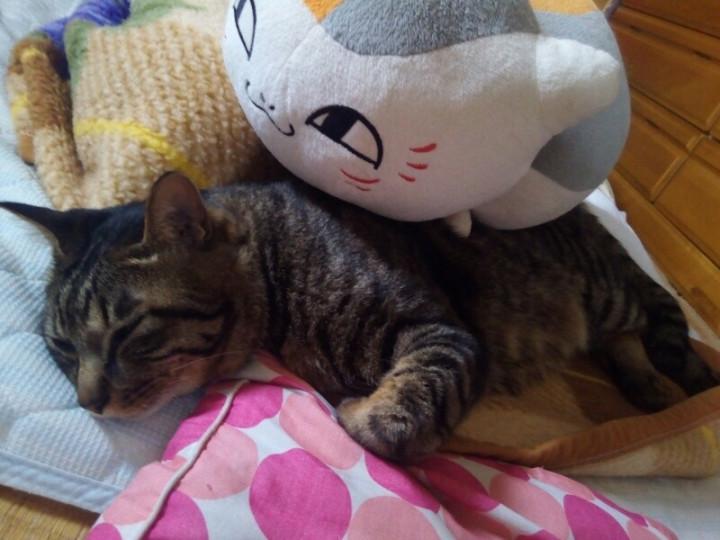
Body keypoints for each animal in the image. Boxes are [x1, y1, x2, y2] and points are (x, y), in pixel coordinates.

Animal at [1, 172, 717, 460]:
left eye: (128, 332)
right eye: (62, 348)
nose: (89, 403)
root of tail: (583, 212)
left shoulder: (441, 331)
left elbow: (414, 398)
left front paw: (365, 417)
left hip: (605, 288)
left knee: (659, 312)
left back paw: (687, 379)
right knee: (625, 338)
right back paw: (648, 387)